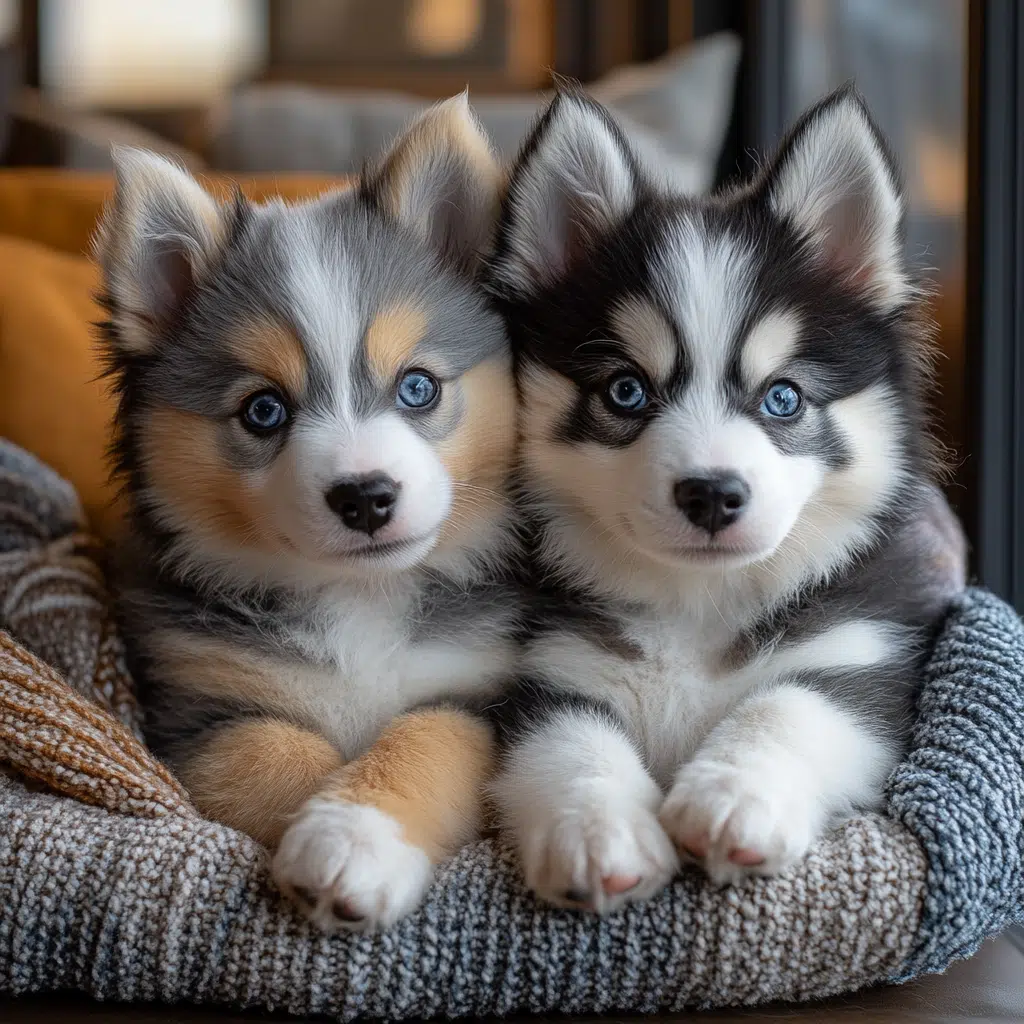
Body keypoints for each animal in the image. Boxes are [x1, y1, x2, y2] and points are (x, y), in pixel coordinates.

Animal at [96, 94, 520, 929]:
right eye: (264, 410)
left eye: (418, 387)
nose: (366, 497)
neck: (360, 600)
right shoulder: (197, 713)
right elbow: (276, 752)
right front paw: (328, 827)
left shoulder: (482, 692)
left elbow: (427, 736)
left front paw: (355, 836)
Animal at [487, 88, 966, 913]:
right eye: (626, 391)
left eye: (783, 398)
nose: (712, 493)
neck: (697, 605)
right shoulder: (546, 668)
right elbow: (569, 740)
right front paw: (597, 828)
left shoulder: (864, 654)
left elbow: (791, 706)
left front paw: (733, 796)